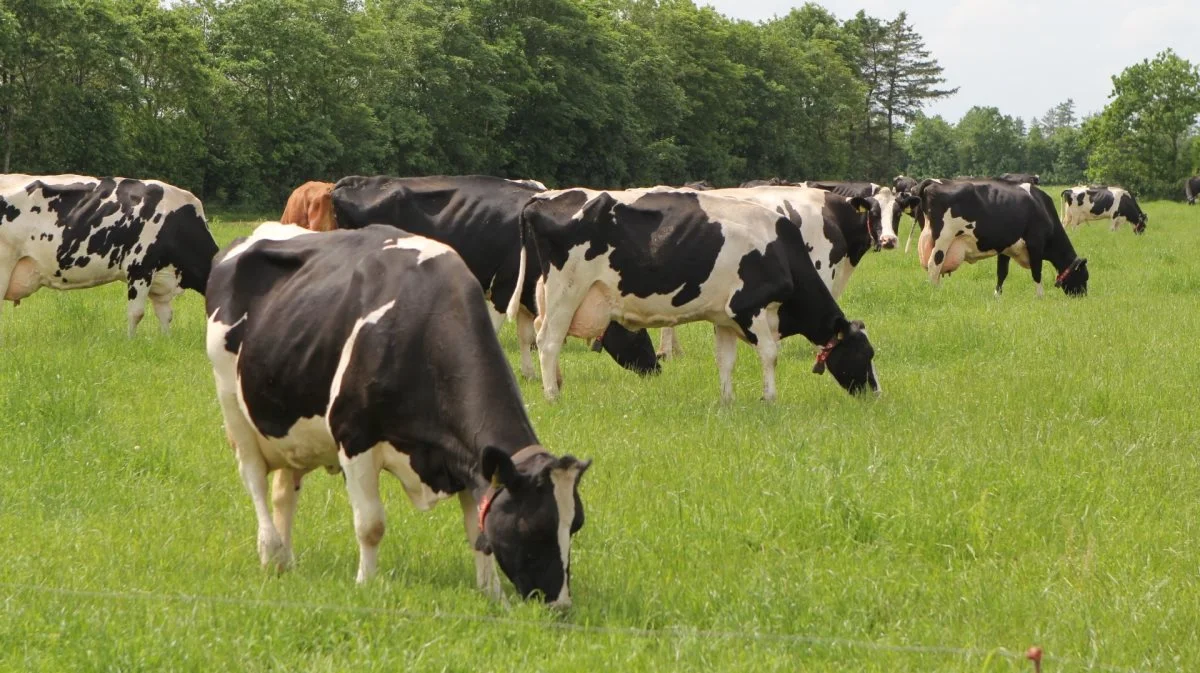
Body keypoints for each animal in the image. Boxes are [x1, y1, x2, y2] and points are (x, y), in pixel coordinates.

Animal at [2, 170, 217, 333]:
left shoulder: (162, 279)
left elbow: (166, 316)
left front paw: (165, 341)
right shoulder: (139, 268)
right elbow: (136, 313)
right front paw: (131, 343)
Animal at [206, 223, 590, 607]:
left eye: (576, 524)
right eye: (532, 527)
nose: (561, 605)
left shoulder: (468, 459)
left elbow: (478, 533)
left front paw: (493, 595)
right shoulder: (354, 438)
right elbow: (371, 525)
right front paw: (366, 584)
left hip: (290, 421)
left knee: (284, 491)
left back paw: (285, 560)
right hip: (233, 407)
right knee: (254, 478)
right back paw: (270, 550)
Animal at [328, 173, 657, 379]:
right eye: (638, 332)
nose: (656, 367)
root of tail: (351, 181)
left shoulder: (526, 295)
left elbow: (526, 335)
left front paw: (528, 373)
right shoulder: (504, 288)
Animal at [506, 187, 883, 403]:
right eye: (865, 354)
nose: (876, 394)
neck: (781, 250)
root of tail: (544, 199)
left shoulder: (725, 318)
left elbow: (725, 360)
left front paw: (728, 401)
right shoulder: (750, 308)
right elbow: (770, 355)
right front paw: (770, 399)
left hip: (551, 293)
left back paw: (556, 384)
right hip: (566, 290)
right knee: (548, 340)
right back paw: (552, 395)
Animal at [912, 179, 1094, 295]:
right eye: (1084, 276)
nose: (1082, 296)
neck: (1042, 207)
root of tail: (934, 182)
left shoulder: (1005, 248)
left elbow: (1002, 273)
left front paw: (997, 296)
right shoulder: (1036, 243)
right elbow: (1037, 272)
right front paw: (1040, 296)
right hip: (943, 239)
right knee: (933, 266)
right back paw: (935, 293)